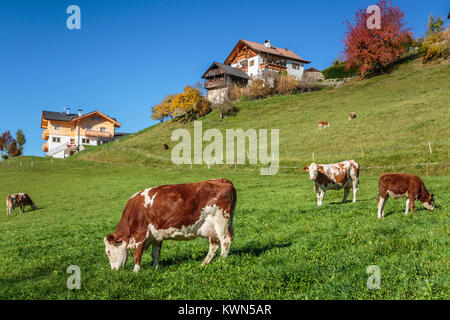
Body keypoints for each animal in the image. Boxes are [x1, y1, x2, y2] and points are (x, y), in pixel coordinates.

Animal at [102, 179, 236, 272]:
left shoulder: (140, 234)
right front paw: (155, 268)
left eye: (108, 251)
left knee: (225, 241)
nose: (114, 271)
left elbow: (137, 254)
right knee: (215, 244)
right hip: (213, 227)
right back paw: (204, 263)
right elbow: (155, 253)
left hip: (221, 221)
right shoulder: (156, 236)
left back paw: (221, 262)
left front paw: (135, 271)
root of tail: (221, 180)